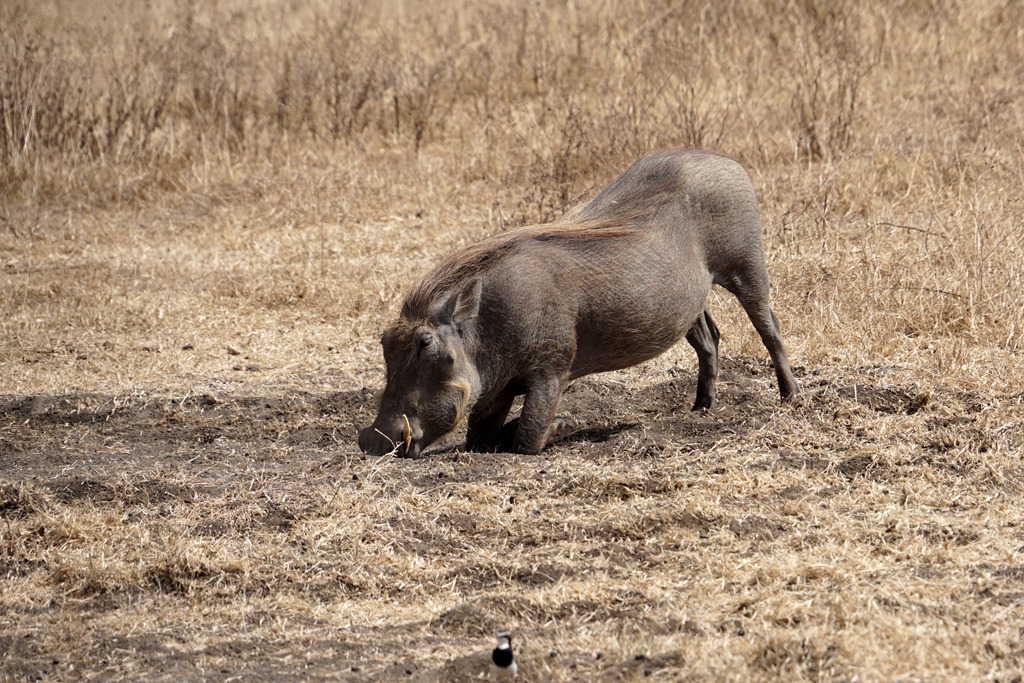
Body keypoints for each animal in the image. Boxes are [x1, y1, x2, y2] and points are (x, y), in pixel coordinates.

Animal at [358, 148, 798, 457]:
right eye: (384, 344)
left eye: (427, 344)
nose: (374, 443)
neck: (487, 324)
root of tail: (725, 159)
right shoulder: (496, 386)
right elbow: (480, 439)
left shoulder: (551, 371)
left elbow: (528, 437)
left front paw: (561, 427)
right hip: (689, 298)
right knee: (709, 339)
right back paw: (701, 409)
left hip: (746, 266)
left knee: (770, 328)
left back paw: (791, 397)